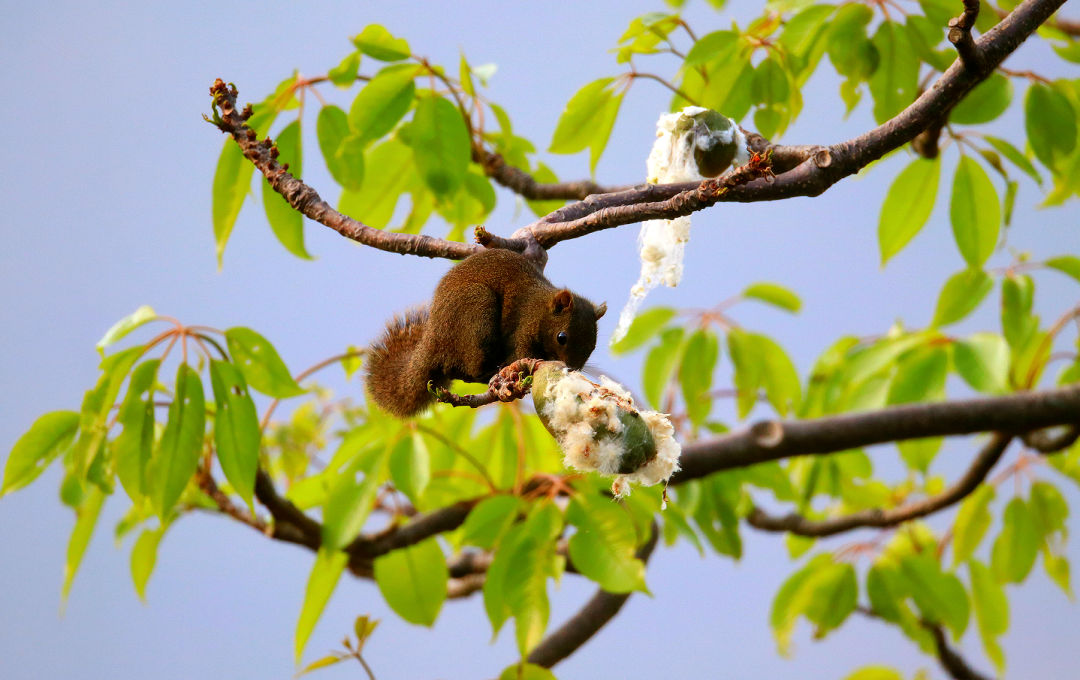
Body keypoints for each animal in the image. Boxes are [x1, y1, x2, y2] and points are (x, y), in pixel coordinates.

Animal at [367, 249, 609, 420]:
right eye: (562, 337)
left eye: (592, 346)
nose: (572, 369)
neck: (540, 310)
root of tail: (433, 340)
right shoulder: (522, 329)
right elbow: (520, 354)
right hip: (476, 310)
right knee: (466, 370)